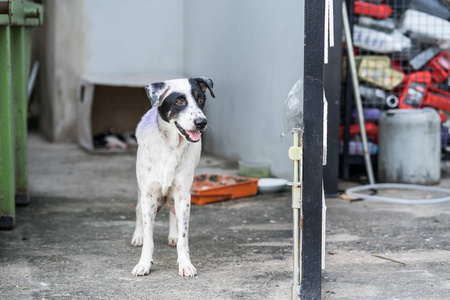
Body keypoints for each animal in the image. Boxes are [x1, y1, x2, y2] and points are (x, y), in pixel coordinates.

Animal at [131, 77, 215, 276]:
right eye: (179, 101)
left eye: (201, 99)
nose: (201, 122)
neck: (170, 144)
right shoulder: (148, 193)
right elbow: (149, 236)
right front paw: (144, 263)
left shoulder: (183, 194)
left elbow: (184, 236)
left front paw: (185, 263)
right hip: (141, 190)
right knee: (138, 209)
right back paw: (137, 236)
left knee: (173, 212)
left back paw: (173, 235)